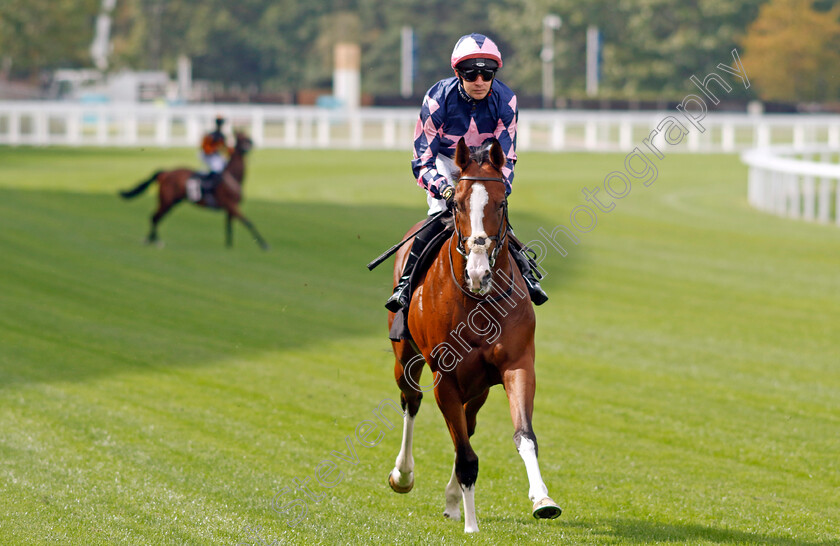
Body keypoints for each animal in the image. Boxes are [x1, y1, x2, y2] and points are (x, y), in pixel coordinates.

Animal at [118, 132, 268, 249]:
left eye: (247, 137)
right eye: (242, 138)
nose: (251, 144)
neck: (233, 176)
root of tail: (165, 172)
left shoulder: (230, 208)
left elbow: (229, 227)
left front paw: (229, 246)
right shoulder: (232, 205)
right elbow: (248, 223)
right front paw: (264, 245)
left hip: (172, 202)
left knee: (156, 217)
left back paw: (151, 239)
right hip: (167, 200)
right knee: (154, 217)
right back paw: (155, 241)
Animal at [388, 137, 560, 532]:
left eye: (501, 202)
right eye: (457, 203)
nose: (478, 273)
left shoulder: (516, 365)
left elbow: (524, 436)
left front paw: (543, 499)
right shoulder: (446, 378)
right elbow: (465, 455)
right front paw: (471, 525)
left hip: (479, 384)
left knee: (468, 422)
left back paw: (453, 499)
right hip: (406, 356)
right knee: (411, 400)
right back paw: (403, 475)